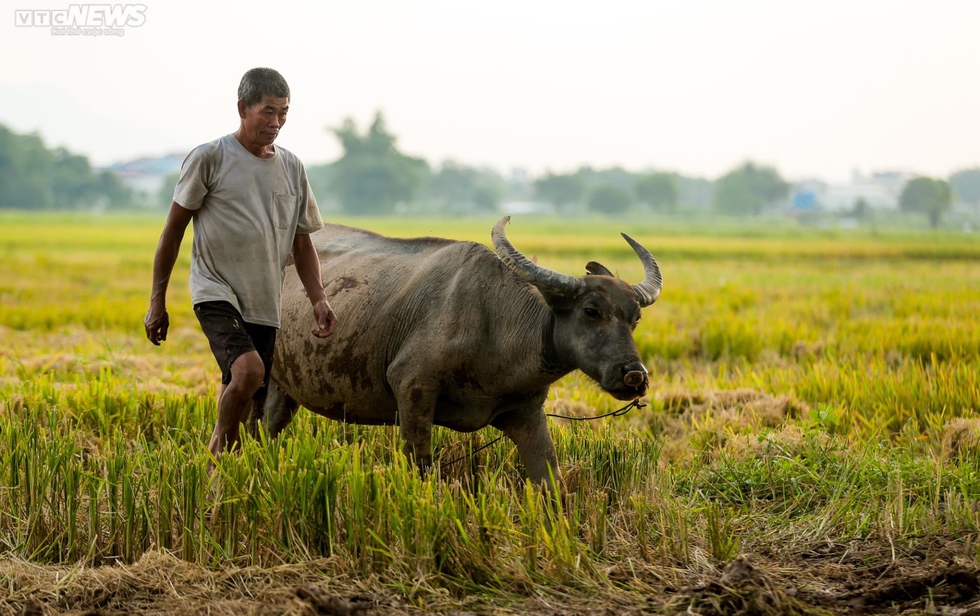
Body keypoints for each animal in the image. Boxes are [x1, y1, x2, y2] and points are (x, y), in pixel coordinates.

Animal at [256, 217, 664, 486]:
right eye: (591, 311)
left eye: (635, 318)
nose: (634, 375)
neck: (494, 324)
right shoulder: (413, 390)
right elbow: (421, 468)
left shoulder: (527, 413)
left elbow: (552, 481)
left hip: (282, 389)